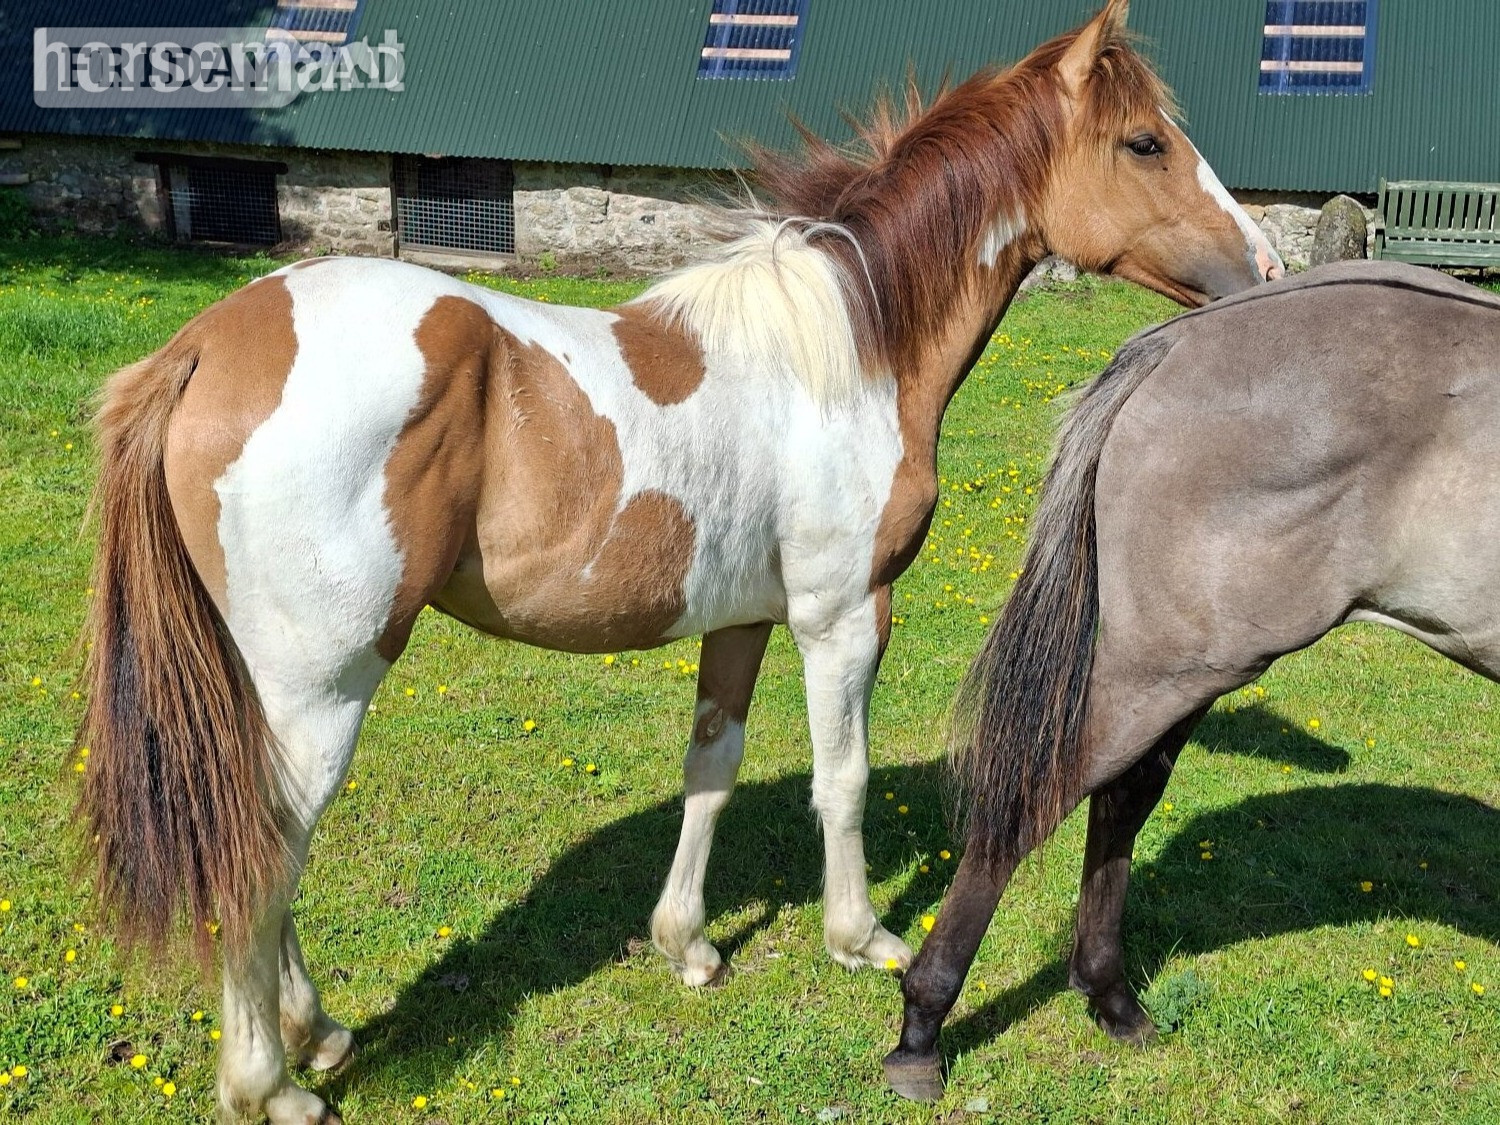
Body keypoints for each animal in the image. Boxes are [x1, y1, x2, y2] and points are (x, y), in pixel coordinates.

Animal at [76, 2, 1282, 1120]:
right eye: (1145, 143)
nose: (1268, 268)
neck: (849, 352)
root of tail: (205, 347)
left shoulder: (743, 620)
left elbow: (714, 768)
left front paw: (688, 945)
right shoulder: (845, 613)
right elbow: (842, 777)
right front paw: (861, 938)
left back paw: (314, 1032)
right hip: (323, 685)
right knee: (264, 851)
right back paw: (269, 1083)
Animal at [883, 259, 1500, 1102]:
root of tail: (1177, 340)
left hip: (1184, 670)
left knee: (1122, 794)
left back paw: (1112, 998)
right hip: (1172, 666)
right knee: (1034, 801)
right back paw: (922, 1029)